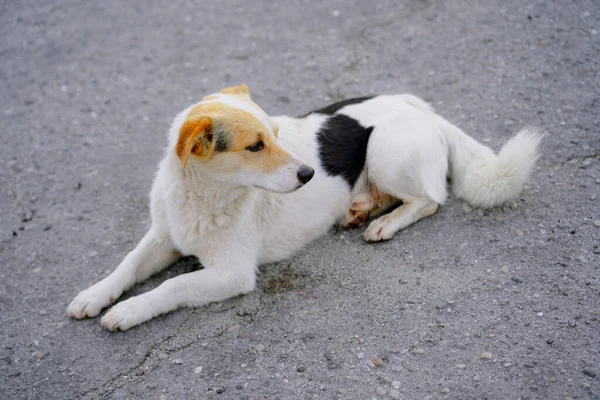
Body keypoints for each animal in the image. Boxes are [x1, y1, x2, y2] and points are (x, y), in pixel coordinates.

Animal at [67, 83, 544, 330]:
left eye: (276, 135)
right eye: (255, 146)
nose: (309, 174)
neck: (204, 195)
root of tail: (423, 108)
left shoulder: (232, 273)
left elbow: (171, 287)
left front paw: (129, 310)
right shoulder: (163, 236)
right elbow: (126, 266)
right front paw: (95, 295)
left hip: (386, 152)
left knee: (430, 199)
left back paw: (385, 223)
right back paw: (361, 207)